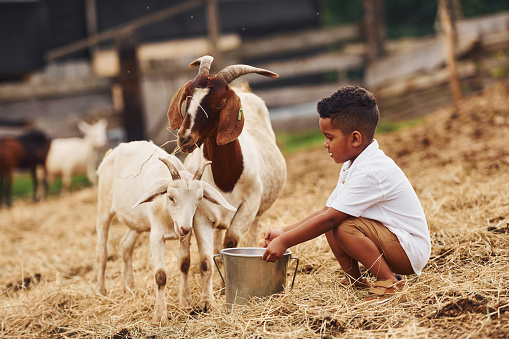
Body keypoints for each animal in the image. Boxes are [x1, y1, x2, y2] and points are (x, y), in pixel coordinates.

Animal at [94, 141, 235, 324]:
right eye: (171, 197)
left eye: (199, 199)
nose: (184, 227)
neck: (169, 218)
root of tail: (113, 151)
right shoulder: (156, 236)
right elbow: (160, 275)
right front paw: (160, 315)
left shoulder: (185, 236)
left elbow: (184, 263)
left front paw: (185, 302)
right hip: (104, 207)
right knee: (102, 250)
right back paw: (100, 290)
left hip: (138, 222)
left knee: (125, 245)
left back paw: (129, 287)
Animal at [167, 55, 286, 310]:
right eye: (188, 95)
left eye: (220, 102)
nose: (185, 138)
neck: (226, 178)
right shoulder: (201, 216)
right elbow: (205, 261)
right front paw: (206, 302)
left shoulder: (248, 206)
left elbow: (231, 242)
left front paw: (225, 287)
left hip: (257, 210)